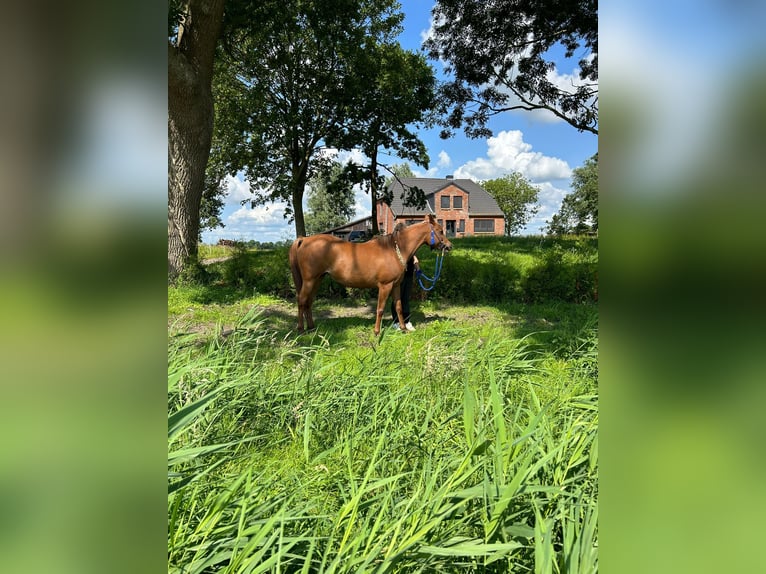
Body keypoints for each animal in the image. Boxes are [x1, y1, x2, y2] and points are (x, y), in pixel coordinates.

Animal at [292, 214, 452, 336]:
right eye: (440, 230)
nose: (449, 246)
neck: (395, 250)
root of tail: (304, 239)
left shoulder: (396, 286)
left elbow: (398, 307)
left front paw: (403, 328)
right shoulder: (385, 286)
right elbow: (380, 309)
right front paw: (376, 332)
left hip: (318, 279)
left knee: (309, 302)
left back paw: (311, 327)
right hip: (309, 280)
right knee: (301, 300)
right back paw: (300, 329)